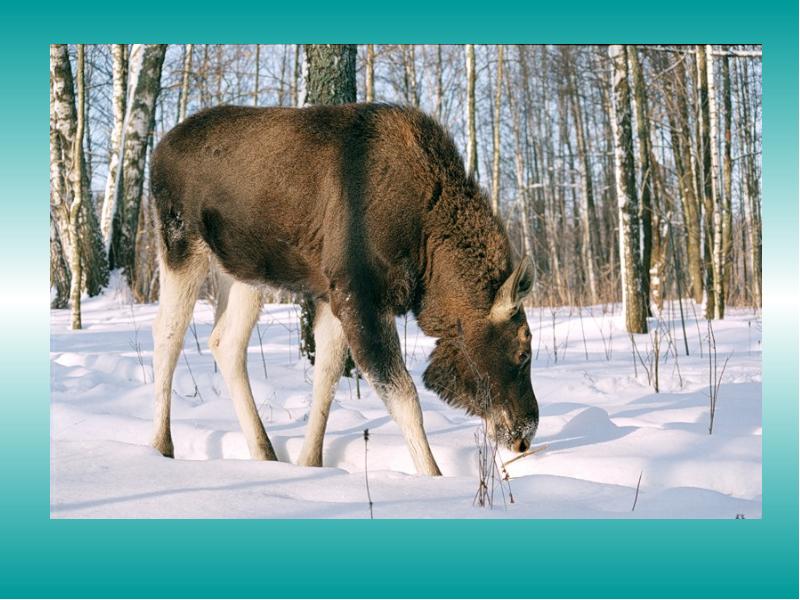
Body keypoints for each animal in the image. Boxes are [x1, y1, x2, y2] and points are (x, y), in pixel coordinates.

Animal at [150, 104, 536, 478]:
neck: (427, 254)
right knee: (168, 335)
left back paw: (264, 451)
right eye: (523, 352)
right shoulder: (361, 296)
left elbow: (328, 376)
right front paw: (434, 477)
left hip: (245, 272)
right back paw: (161, 445)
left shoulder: (333, 294)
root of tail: (157, 152)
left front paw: (310, 462)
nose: (525, 436)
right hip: (180, 241)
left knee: (225, 342)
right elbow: (404, 397)